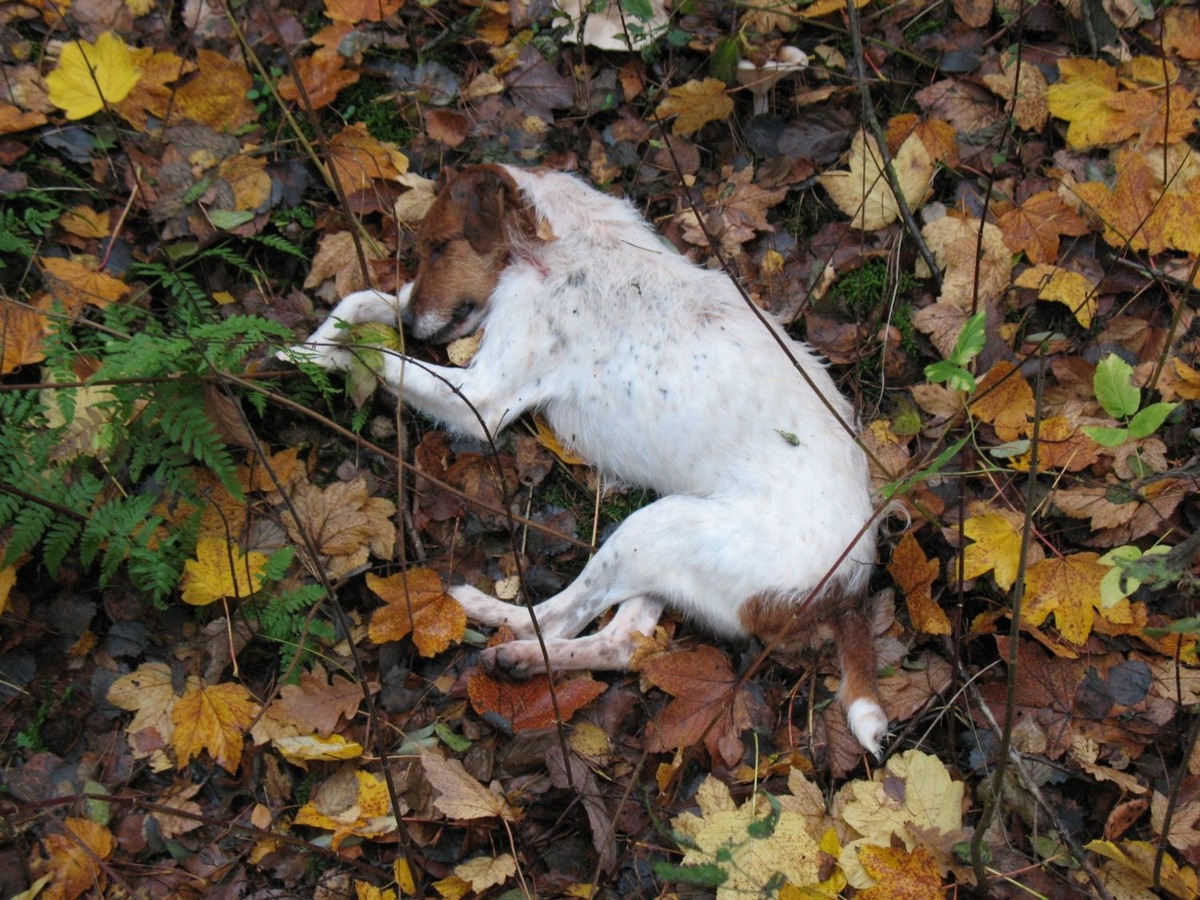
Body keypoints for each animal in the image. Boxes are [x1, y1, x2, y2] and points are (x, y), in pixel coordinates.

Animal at [291, 164, 892, 753]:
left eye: (439, 246)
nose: (416, 324)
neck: (564, 242)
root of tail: (847, 593)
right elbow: (361, 300)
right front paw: (305, 348)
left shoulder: (482, 400)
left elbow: (378, 353)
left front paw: (325, 359)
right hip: (670, 545)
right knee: (620, 642)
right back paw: (512, 651)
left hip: (654, 527)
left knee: (557, 618)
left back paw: (490, 625)